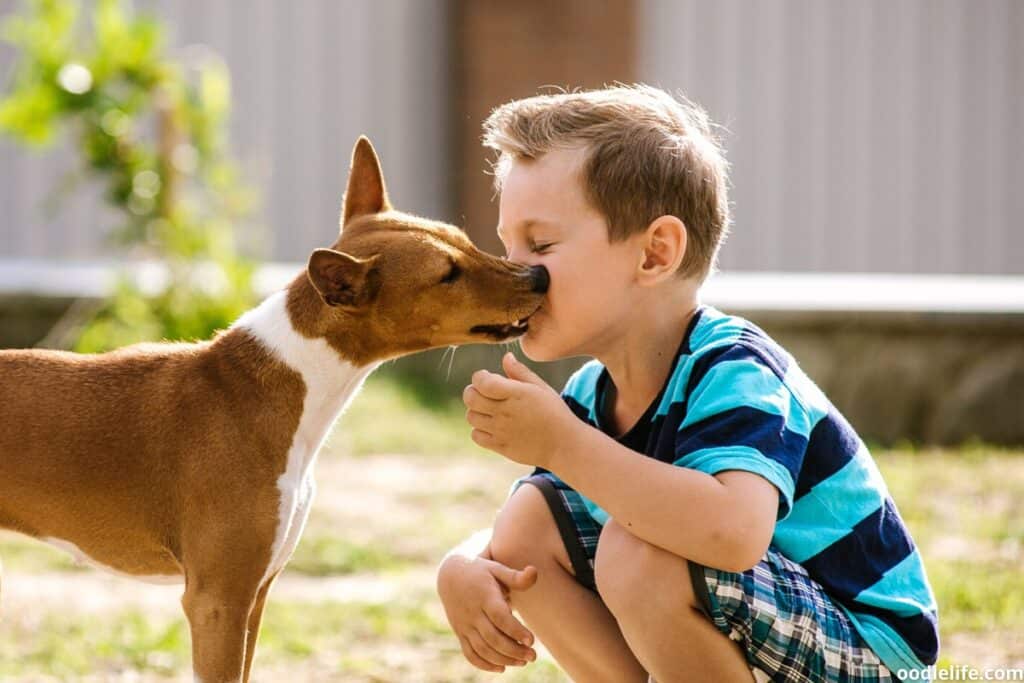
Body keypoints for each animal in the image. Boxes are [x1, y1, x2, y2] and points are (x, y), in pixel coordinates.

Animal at [0, 136, 552, 679]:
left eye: (464, 240)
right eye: (447, 275)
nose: (539, 276)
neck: (270, 391)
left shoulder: (256, 594)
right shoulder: (217, 601)